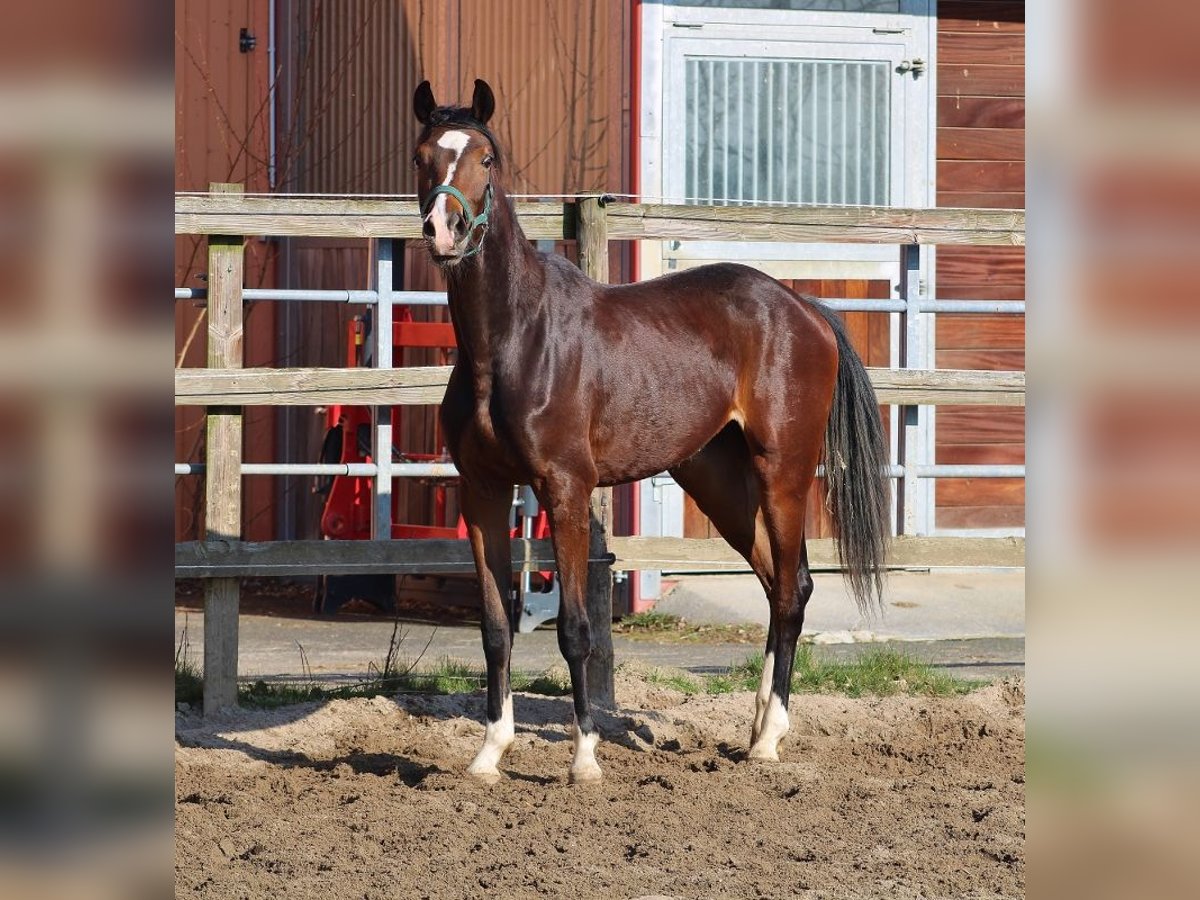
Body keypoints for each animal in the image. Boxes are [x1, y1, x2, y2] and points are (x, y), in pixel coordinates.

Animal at [412, 77, 892, 782]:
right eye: (424, 156)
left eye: (486, 158)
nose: (443, 231)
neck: (511, 341)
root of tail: (804, 306)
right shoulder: (482, 492)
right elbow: (495, 628)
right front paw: (489, 753)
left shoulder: (567, 490)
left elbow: (575, 630)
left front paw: (585, 759)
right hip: (718, 480)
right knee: (777, 584)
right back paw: (755, 730)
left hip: (784, 471)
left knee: (793, 589)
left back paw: (770, 738)